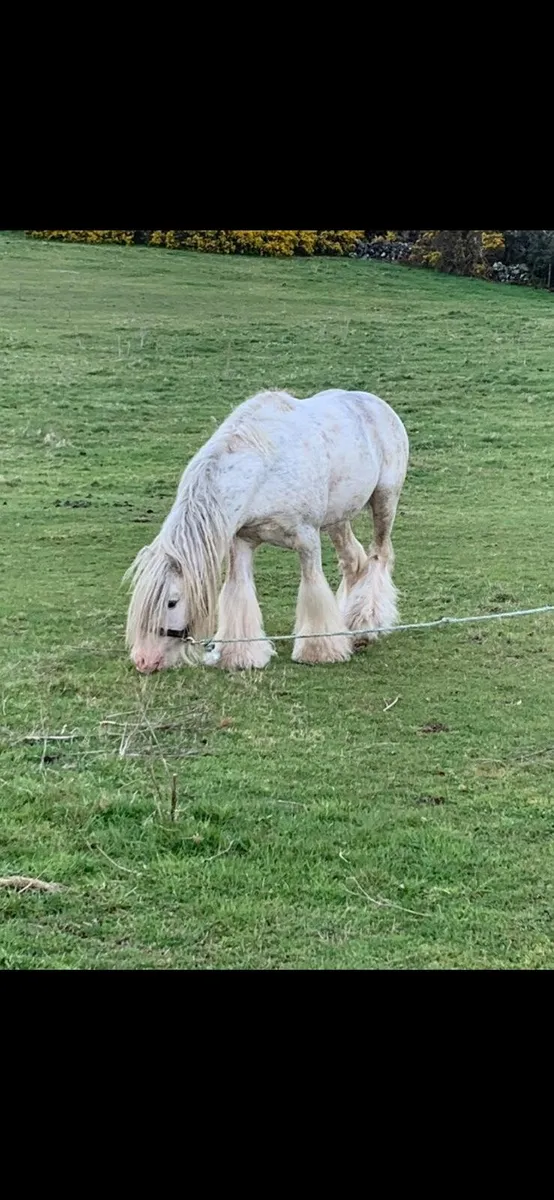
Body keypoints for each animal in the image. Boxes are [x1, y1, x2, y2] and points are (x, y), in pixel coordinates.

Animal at [125, 388, 409, 673]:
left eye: (171, 602)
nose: (144, 660)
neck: (264, 471)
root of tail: (377, 404)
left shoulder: (307, 539)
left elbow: (313, 588)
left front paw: (319, 650)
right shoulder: (241, 541)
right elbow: (239, 592)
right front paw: (240, 655)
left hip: (384, 501)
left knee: (379, 555)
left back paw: (366, 624)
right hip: (337, 519)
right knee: (353, 561)